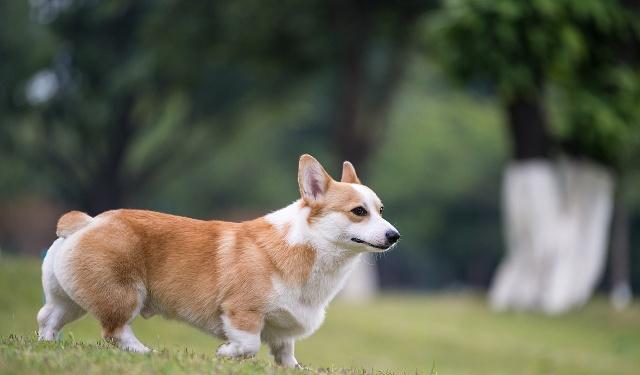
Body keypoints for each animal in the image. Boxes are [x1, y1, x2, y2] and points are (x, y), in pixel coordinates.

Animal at [37, 154, 398, 368]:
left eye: (380, 210)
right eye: (358, 212)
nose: (394, 235)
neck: (309, 246)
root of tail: (86, 222)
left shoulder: (283, 330)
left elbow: (286, 352)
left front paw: (295, 369)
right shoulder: (243, 311)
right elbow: (249, 344)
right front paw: (227, 355)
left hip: (69, 299)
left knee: (48, 318)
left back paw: (47, 345)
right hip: (124, 295)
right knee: (115, 331)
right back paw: (146, 353)